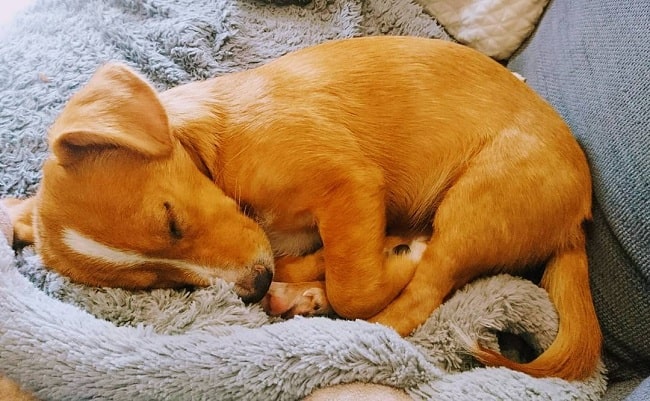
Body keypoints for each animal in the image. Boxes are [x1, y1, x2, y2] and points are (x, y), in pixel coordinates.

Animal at [5, 37, 600, 382]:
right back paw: (302, 295)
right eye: (159, 284)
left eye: (171, 222)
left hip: (477, 203)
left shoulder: (349, 182)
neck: (217, 151)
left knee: (419, 295)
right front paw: (301, 282)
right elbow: (329, 261)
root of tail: (575, 221)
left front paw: (375, 266)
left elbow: (355, 283)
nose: (255, 287)